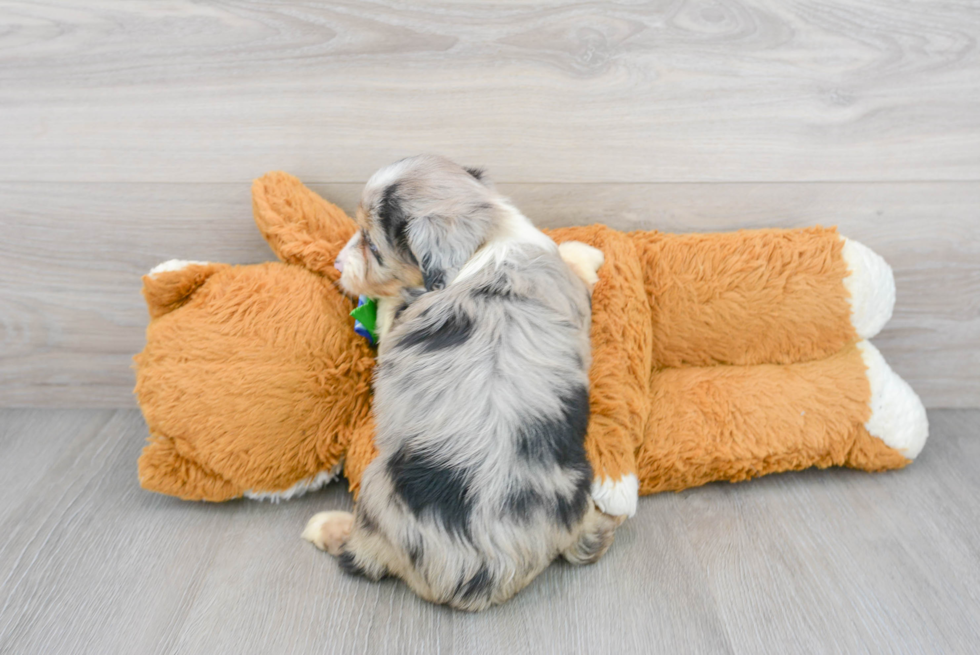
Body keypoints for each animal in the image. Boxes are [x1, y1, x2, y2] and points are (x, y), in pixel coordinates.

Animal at [302, 155, 616, 616]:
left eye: (373, 248)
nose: (339, 264)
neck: (487, 241)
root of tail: (485, 573)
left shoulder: (399, 323)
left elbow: (390, 311)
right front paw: (584, 254)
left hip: (378, 490)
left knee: (363, 549)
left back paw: (328, 526)